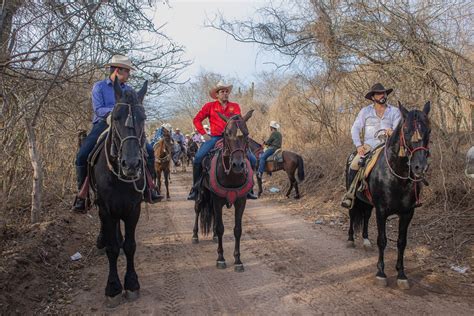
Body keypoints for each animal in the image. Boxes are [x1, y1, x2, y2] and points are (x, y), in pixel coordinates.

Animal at [194, 110, 256, 272]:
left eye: (246, 134)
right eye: (227, 134)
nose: (238, 165)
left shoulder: (241, 202)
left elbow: (237, 229)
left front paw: (238, 260)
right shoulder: (217, 200)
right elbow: (221, 227)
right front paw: (221, 258)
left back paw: (214, 236)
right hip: (202, 193)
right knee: (198, 208)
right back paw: (195, 235)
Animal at [346, 101, 432, 288]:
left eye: (429, 130)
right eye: (405, 130)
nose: (419, 167)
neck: (396, 176)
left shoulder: (407, 213)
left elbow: (401, 242)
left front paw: (401, 274)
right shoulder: (382, 211)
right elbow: (382, 240)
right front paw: (381, 273)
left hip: (369, 203)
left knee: (365, 217)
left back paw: (365, 241)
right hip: (354, 199)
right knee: (352, 214)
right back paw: (350, 239)